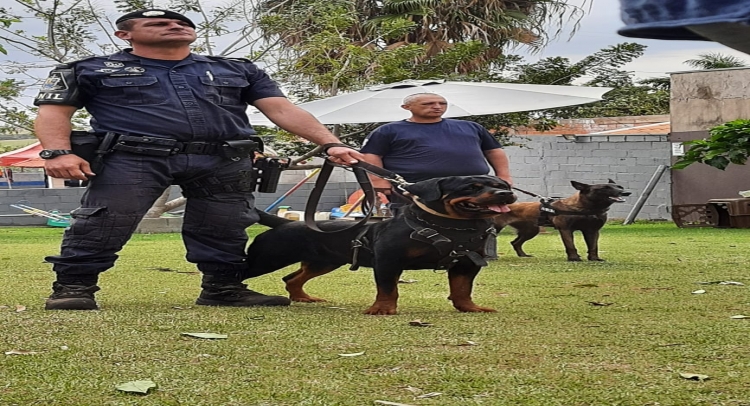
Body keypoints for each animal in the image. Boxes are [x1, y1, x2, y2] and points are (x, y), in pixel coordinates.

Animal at [247, 174, 516, 314]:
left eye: (502, 186)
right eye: (472, 187)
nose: (505, 194)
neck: (450, 226)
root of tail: (282, 222)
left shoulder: (467, 263)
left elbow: (462, 288)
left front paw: (470, 307)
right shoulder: (388, 259)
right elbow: (387, 288)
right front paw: (383, 309)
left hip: (324, 262)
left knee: (292, 278)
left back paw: (303, 297)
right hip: (265, 259)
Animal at [496, 179, 632, 262]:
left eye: (620, 187)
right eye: (605, 187)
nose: (626, 192)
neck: (586, 208)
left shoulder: (592, 231)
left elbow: (593, 246)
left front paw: (594, 258)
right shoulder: (566, 229)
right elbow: (571, 246)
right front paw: (574, 258)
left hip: (531, 231)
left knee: (515, 243)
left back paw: (523, 255)